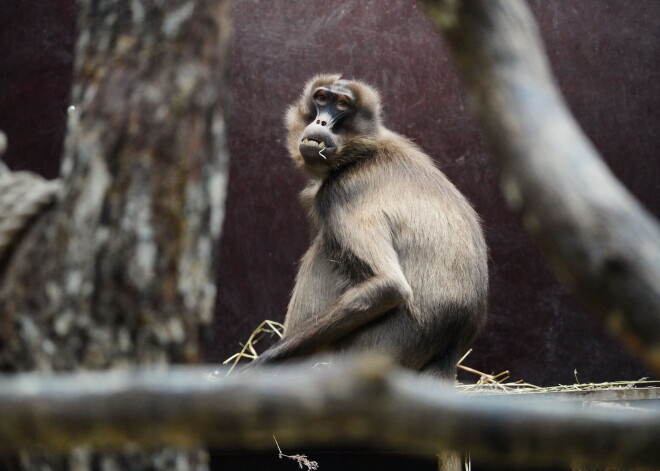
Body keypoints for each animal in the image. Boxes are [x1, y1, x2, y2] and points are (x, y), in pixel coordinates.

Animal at [250, 74, 488, 382]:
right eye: (321, 99)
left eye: (342, 105)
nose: (321, 122)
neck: (360, 153)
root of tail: (449, 351)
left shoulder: (340, 191)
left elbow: (388, 287)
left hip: (379, 345)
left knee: (326, 250)